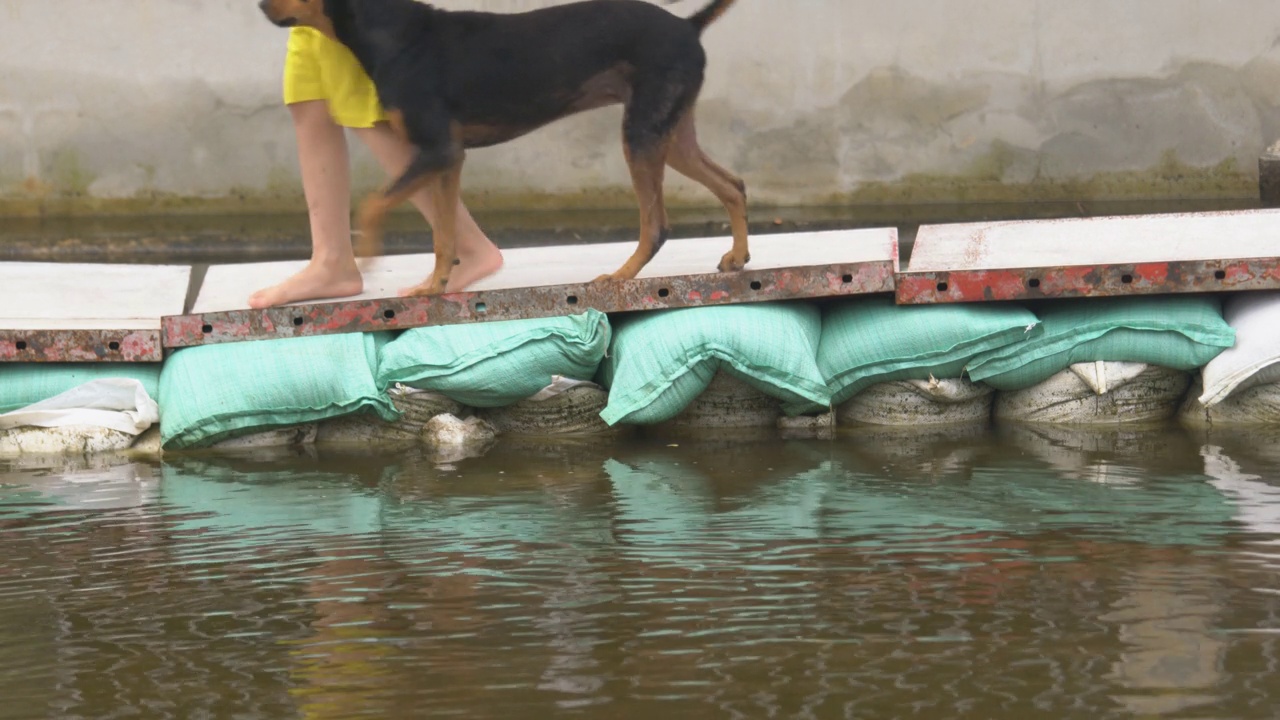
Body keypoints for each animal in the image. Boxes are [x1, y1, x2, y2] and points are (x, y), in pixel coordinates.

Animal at [258, 0, 747, 294]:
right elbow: (443, 235)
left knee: (658, 224)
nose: (261, 4)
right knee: (733, 185)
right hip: (670, 135)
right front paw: (434, 287)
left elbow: (372, 205)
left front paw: (370, 256)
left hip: (642, 135)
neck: (393, 33)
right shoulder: (446, 160)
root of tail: (688, 25)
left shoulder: (437, 151)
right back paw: (738, 257)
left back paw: (619, 275)